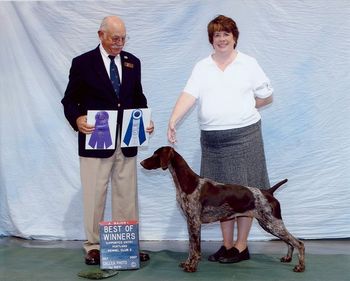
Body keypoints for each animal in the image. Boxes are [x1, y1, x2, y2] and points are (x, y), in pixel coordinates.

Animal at [141, 147, 304, 272]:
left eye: (155, 154)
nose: (141, 162)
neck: (188, 183)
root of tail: (268, 192)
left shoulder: (194, 222)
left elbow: (196, 249)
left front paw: (192, 266)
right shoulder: (190, 222)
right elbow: (191, 246)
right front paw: (187, 263)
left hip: (272, 223)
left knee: (298, 243)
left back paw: (300, 267)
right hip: (271, 224)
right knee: (290, 242)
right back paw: (287, 258)